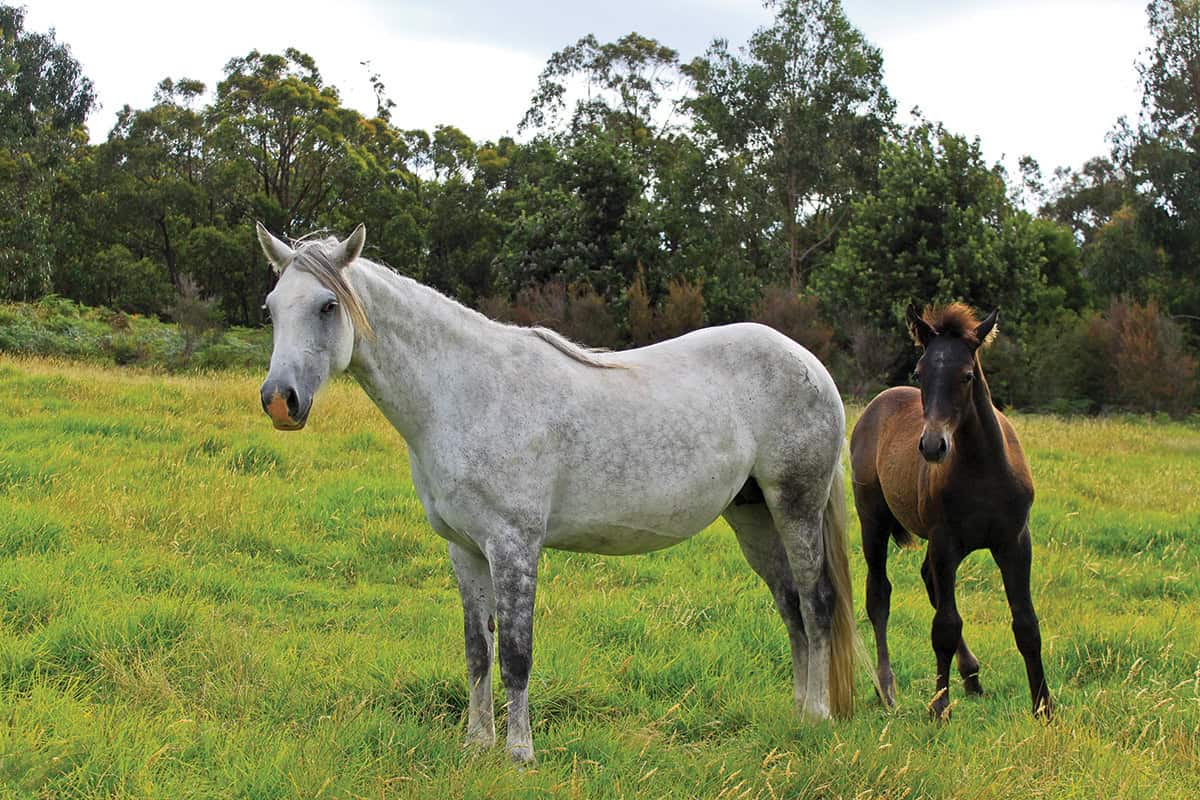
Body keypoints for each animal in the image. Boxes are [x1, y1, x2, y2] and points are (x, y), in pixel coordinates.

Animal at [253, 223, 858, 764]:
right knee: (789, 605)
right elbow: (478, 651)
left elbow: (515, 654)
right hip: (754, 516)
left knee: (815, 602)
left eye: (328, 306)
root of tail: (808, 361)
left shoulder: (514, 546)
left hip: (796, 507)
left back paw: (817, 717)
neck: (465, 393)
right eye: (272, 307)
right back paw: (797, 712)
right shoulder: (465, 550)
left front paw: (520, 753)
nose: (280, 401)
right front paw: (476, 745)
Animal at [849, 303, 1052, 721]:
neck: (982, 468)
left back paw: (971, 675)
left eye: (967, 375)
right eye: (920, 372)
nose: (932, 446)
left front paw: (1044, 706)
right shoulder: (944, 541)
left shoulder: (1015, 541)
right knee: (879, 595)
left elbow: (1026, 623)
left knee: (928, 582)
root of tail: (877, 404)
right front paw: (939, 706)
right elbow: (944, 625)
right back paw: (886, 688)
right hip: (872, 521)